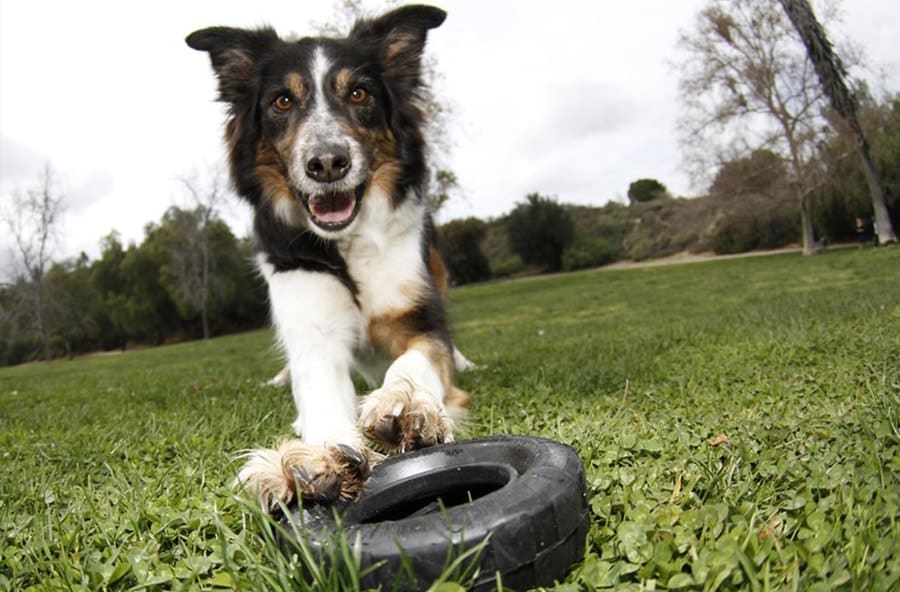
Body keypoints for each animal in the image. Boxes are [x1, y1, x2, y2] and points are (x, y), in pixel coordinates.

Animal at [187, 4, 474, 512]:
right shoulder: (313, 334)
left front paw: (407, 405)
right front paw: (313, 459)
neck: (348, 244)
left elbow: (417, 360)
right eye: (282, 102)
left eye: (358, 93)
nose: (326, 163)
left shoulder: (419, 318)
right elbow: (319, 394)